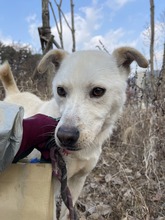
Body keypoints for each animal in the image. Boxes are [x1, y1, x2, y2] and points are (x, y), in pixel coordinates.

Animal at [0, 47, 148, 219]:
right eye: (60, 90)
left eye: (98, 91)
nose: (65, 136)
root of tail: (14, 93)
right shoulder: (50, 187)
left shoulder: (77, 181)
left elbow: (66, 213)